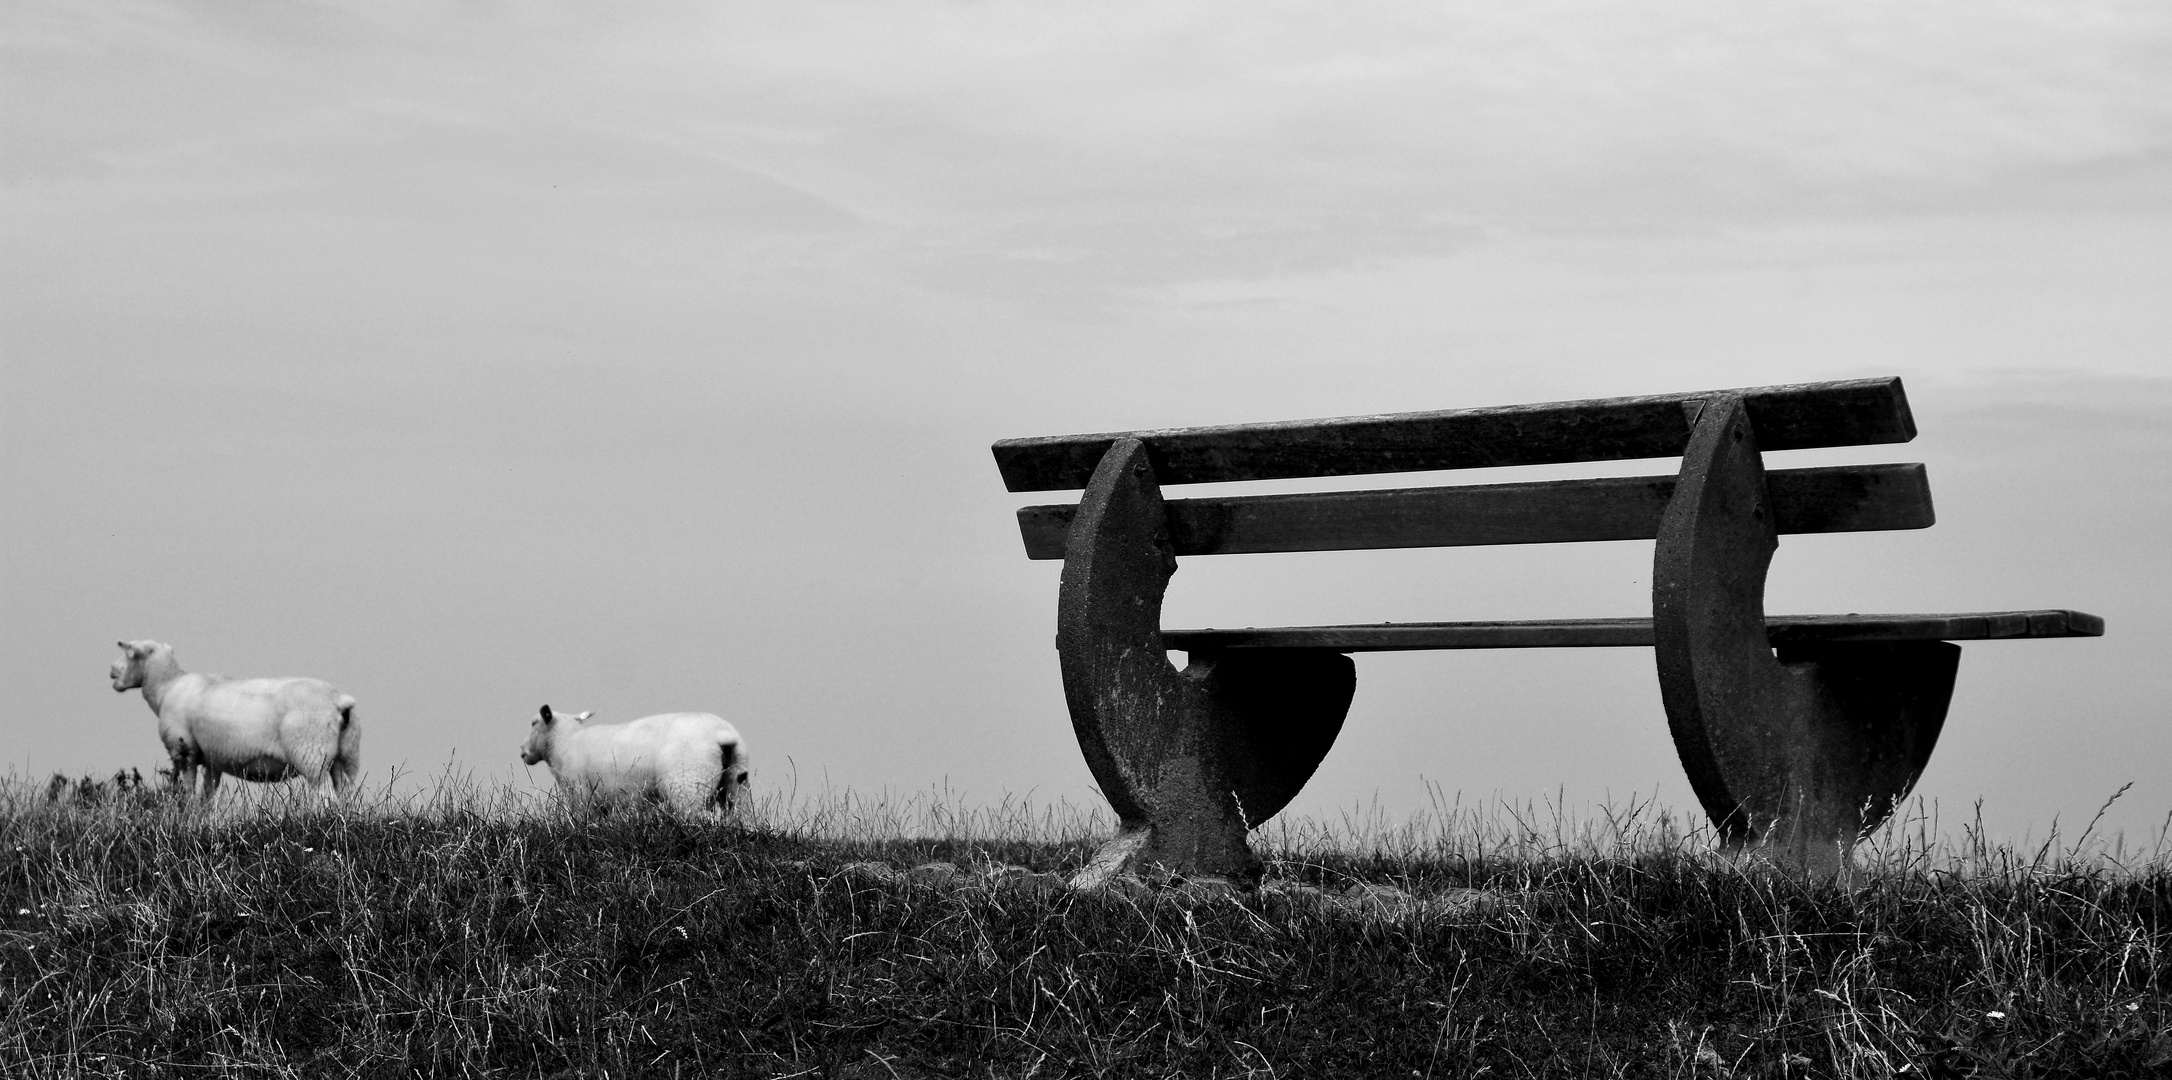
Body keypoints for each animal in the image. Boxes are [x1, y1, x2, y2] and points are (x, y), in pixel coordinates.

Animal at [109, 638, 360, 799]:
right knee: (344, 795)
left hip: (312, 753)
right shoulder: (211, 759)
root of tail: (339, 700)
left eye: (128, 653)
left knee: (325, 796)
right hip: (346, 757)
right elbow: (207, 797)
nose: (111, 671)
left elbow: (189, 793)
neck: (165, 686)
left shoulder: (185, 751)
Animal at [523, 704, 755, 812]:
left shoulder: (580, 792)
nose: (522, 750)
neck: (565, 742)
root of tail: (723, 736)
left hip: (688, 782)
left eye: (534, 723)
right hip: (736, 781)